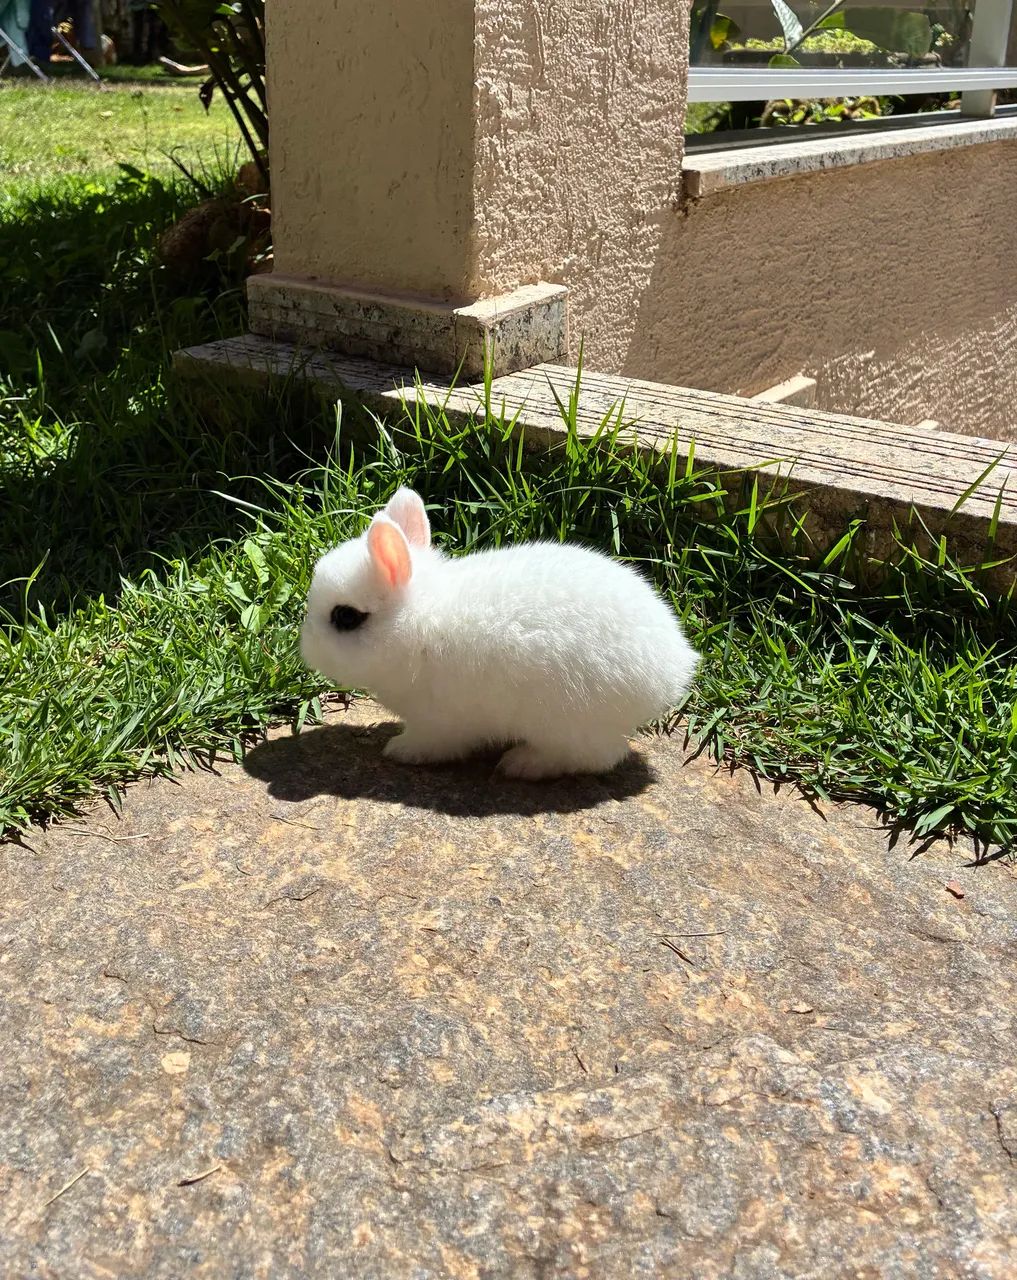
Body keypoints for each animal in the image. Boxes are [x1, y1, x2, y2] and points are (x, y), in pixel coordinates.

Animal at [299, 488, 699, 779]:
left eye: (345, 617)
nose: (306, 649)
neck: (415, 624)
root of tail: (673, 671)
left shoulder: (439, 721)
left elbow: (431, 742)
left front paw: (399, 751)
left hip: (568, 722)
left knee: (596, 758)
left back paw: (521, 764)